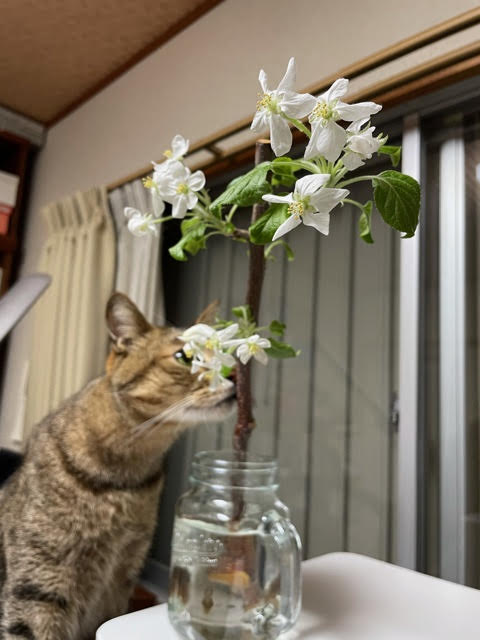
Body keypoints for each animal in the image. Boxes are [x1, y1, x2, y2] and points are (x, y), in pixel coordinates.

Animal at [0, 292, 234, 636]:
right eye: (184, 356)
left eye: (226, 354)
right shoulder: (38, 584)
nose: (234, 376)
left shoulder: (121, 578)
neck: (126, 475)